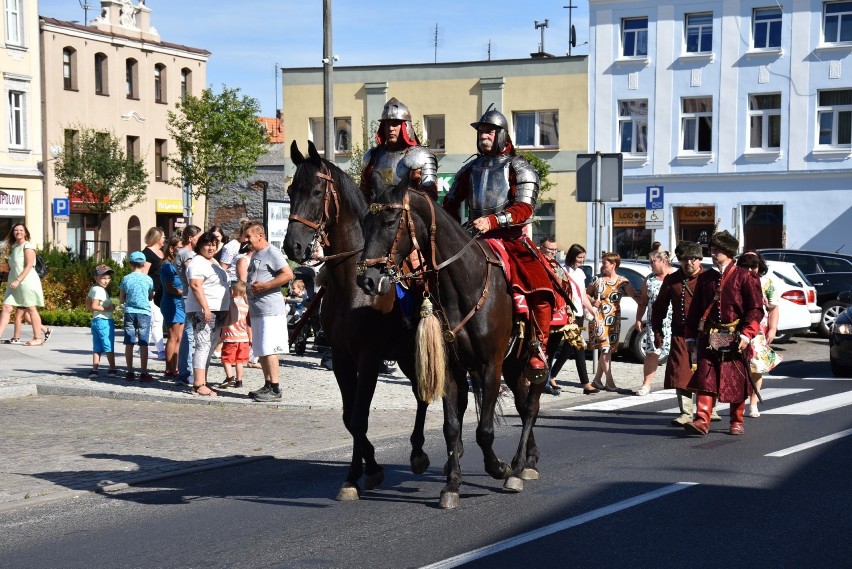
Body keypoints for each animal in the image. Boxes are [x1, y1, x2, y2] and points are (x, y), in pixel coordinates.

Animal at [286, 140, 430, 500]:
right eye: (291, 190)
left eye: (317, 190)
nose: (292, 246)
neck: (351, 283)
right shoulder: (341, 357)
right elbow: (349, 418)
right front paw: (355, 476)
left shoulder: (368, 357)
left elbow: (360, 416)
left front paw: (370, 472)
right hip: (406, 355)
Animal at [354, 180, 544, 508]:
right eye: (365, 224)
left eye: (390, 222)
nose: (367, 280)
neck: (465, 283)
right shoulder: (452, 367)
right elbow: (451, 426)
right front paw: (452, 484)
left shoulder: (490, 365)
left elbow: (484, 430)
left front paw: (498, 468)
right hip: (513, 363)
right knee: (522, 405)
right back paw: (527, 461)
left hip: (534, 358)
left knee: (531, 407)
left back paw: (517, 468)